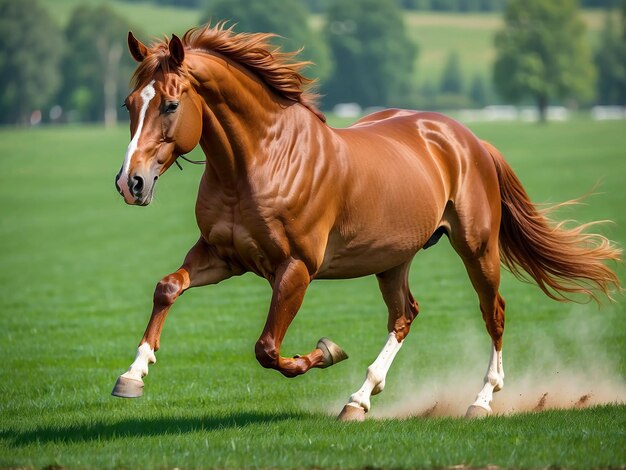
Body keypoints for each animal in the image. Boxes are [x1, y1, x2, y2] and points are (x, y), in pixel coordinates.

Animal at [112, 23, 620, 420]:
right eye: (129, 103)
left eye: (170, 105)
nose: (130, 182)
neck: (259, 161)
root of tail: (469, 139)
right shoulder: (222, 255)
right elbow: (167, 288)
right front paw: (133, 374)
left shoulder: (295, 269)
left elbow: (269, 349)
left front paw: (324, 352)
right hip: (393, 258)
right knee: (404, 316)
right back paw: (359, 399)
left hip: (476, 248)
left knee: (492, 312)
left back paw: (481, 400)